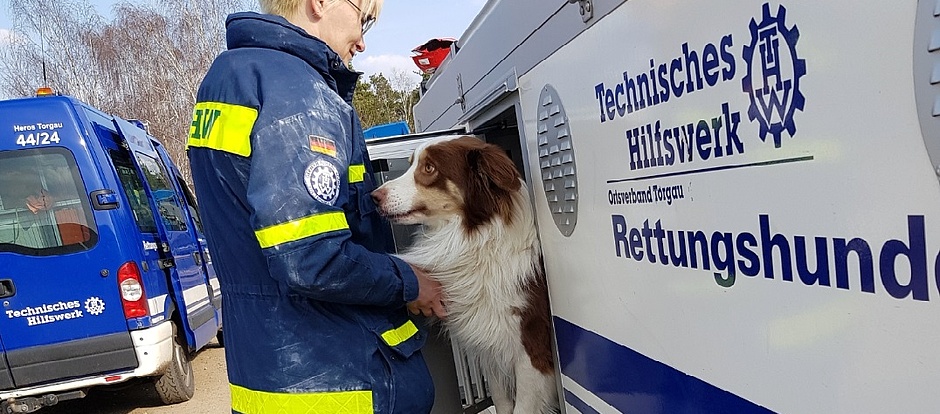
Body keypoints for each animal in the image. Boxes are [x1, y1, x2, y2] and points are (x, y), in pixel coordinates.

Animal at [370, 137, 560, 414]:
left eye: (429, 168)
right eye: (411, 164)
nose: (373, 197)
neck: (478, 241)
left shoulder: (532, 347)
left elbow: (521, 407)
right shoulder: (489, 341)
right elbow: (502, 402)